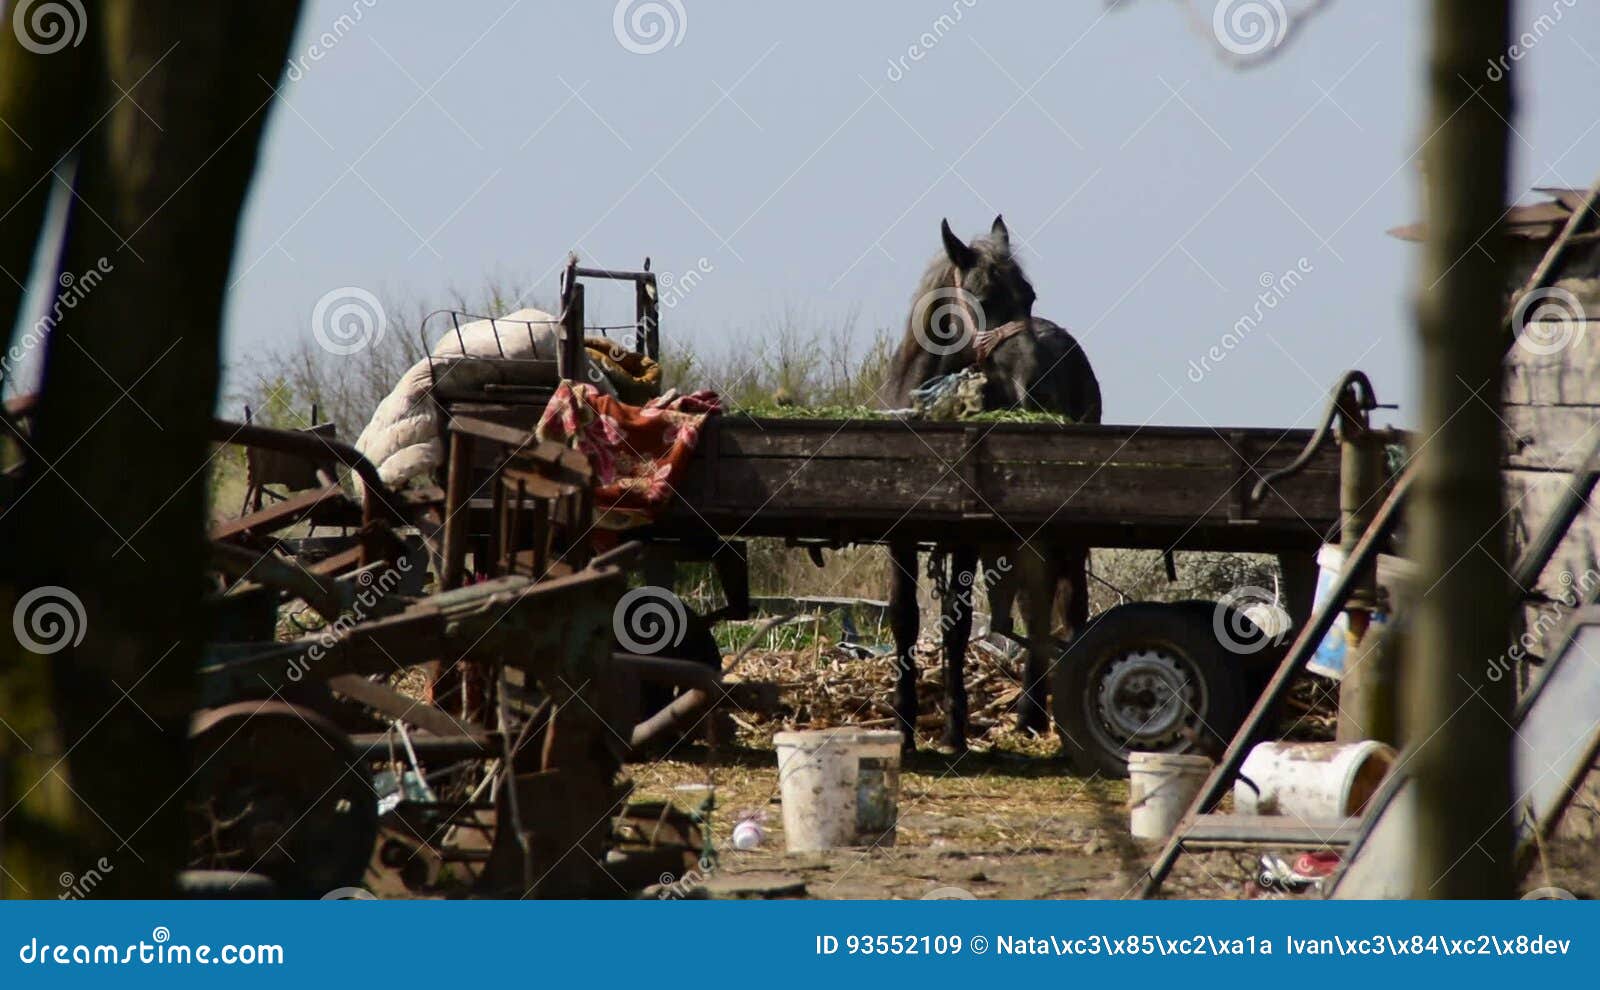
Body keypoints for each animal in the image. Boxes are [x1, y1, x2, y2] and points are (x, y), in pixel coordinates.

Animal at [883, 215, 1102, 753]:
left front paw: (955, 730)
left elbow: (958, 625)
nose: (1037, 386)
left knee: (1066, 609)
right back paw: (1029, 714)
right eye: (981, 296)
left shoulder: (965, 537)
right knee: (1031, 608)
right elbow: (904, 618)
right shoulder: (900, 537)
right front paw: (904, 725)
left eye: (1029, 295)